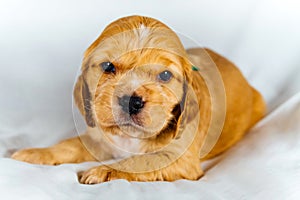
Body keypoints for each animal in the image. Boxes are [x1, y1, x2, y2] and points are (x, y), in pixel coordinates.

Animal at [11, 15, 266, 184]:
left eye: (165, 75)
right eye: (108, 67)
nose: (131, 101)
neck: (130, 137)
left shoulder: (178, 159)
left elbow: (138, 162)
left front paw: (100, 171)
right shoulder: (98, 140)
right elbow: (68, 145)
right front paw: (36, 153)